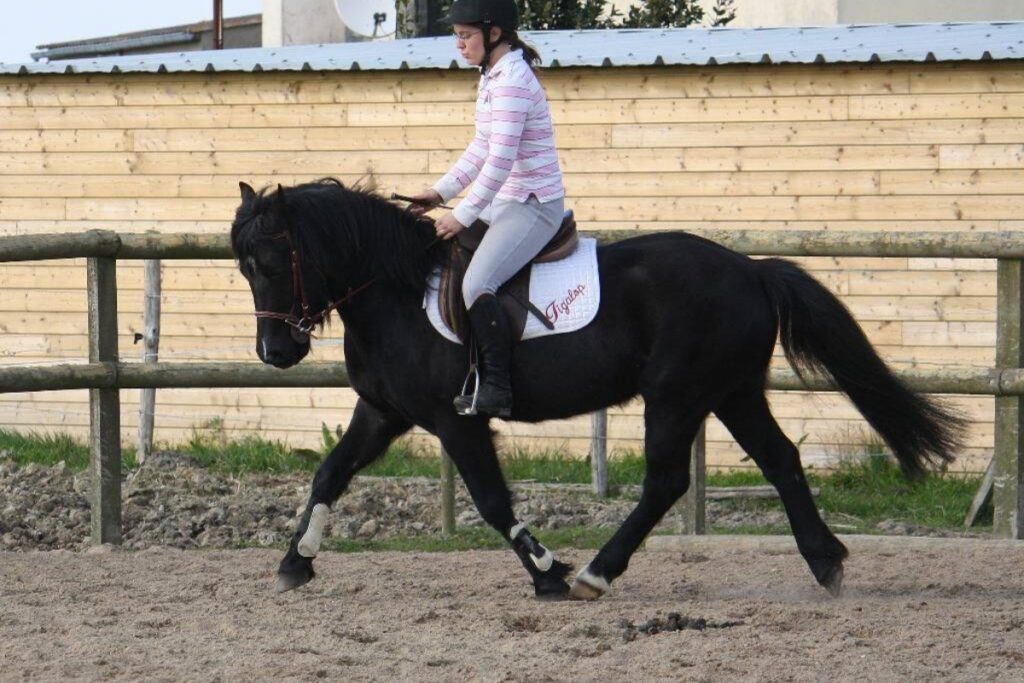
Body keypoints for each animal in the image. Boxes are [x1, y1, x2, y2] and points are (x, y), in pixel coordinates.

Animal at [230, 179, 958, 602]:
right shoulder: (383, 411)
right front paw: (296, 561)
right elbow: (328, 474)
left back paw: (595, 572)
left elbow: (492, 501)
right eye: (243, 267)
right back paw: (825, 560)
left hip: (677, 395)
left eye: (271, 260)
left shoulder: (457, 419)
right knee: (781, 460)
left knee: (666, 481)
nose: (276, 353)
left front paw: (548, 572)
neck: (397, 290)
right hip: (732, 392)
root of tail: (750, 269)